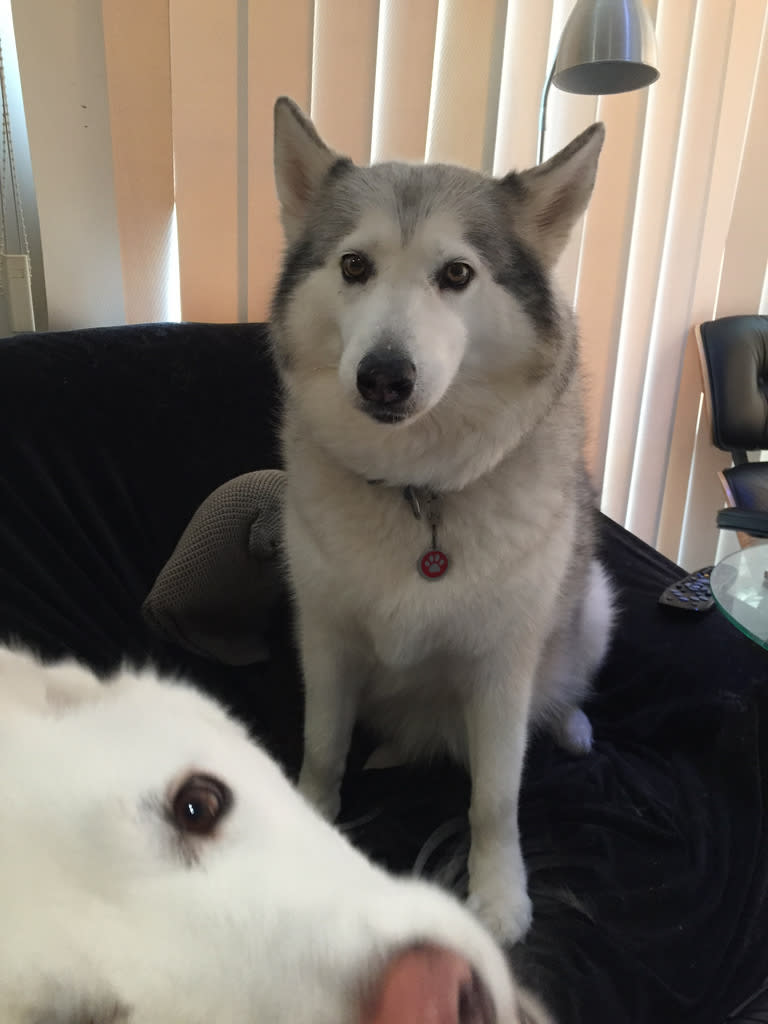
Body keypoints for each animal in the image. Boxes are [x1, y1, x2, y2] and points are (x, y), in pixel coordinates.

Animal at [269, 97, 616, 946]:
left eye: (456, 274)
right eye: (354, 266)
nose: (384, 377)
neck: (418, 488)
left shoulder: (500, 673)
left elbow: (496, 797)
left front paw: (497, 893)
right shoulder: (324, 640)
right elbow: (323, 746)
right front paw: (314, 815)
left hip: (593, 601)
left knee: (563, 684)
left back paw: (569, 724)